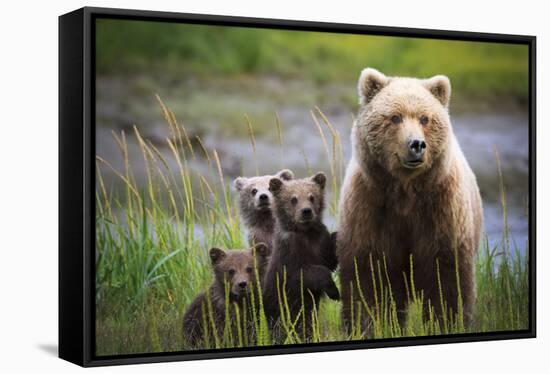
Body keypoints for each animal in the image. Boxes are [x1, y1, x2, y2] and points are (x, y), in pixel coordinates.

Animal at [338, 67, 486, 334]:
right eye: (395, 117)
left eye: (425, 118)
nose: (416, 144)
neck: (405, 191)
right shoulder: (370, 207)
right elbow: (369, 278)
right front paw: (369, 325)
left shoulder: (441, 211)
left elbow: (447, 281)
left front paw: (447, 322)